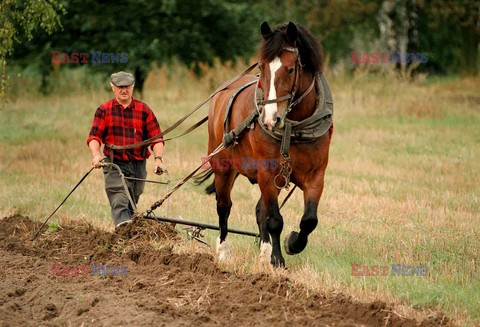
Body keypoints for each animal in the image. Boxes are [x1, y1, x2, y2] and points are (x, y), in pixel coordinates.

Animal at [195, 21, 334, 266]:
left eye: (290, 69)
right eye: (263, 67)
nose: (270, 119)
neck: (292, 128)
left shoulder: (315, 175)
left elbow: (309, 220)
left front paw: (292, 243)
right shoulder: (268, 174)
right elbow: (274, 220)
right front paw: (277, 259)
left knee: (260, 210)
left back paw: (263, 250)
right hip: (223, 165)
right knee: (224, 207)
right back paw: (223, 251)